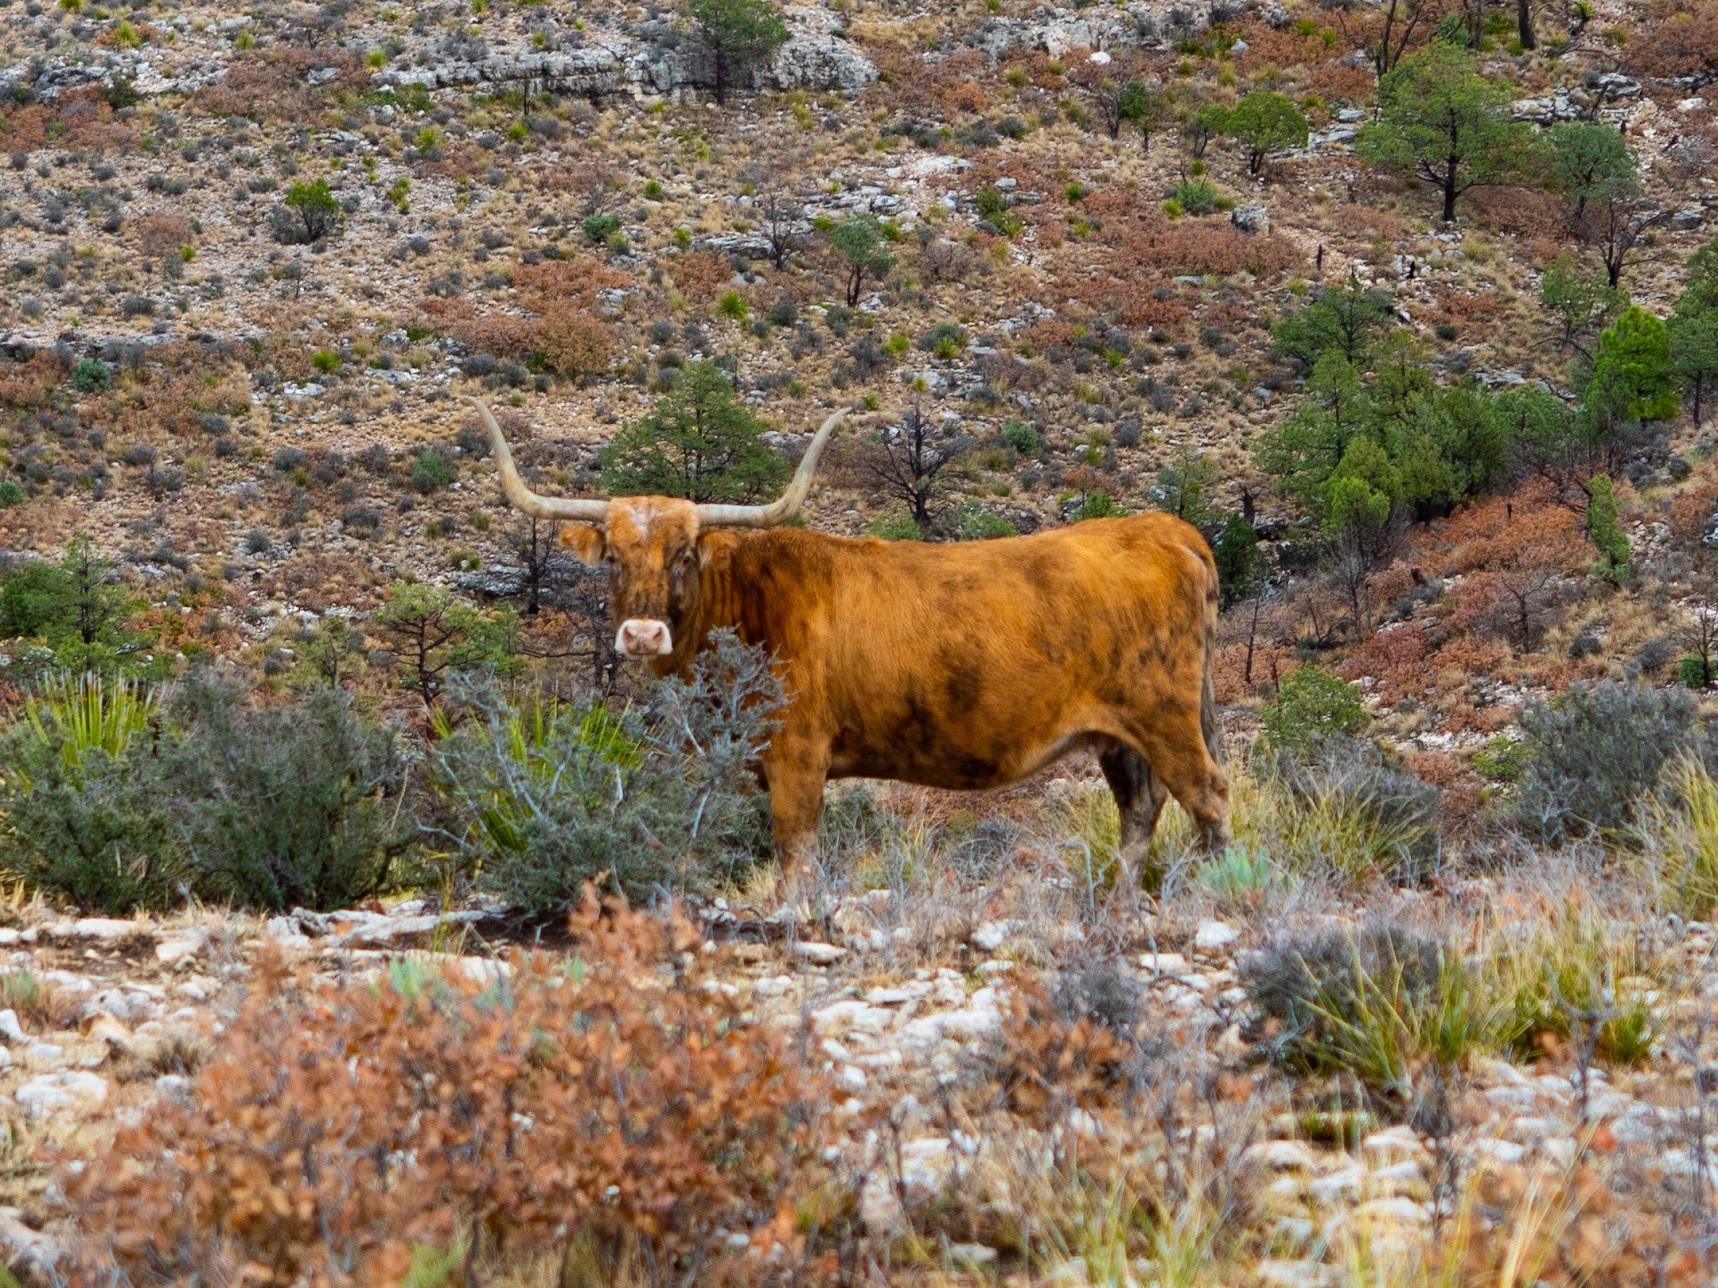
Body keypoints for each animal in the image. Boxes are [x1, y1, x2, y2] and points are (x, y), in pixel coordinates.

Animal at [477, 398, 1230, 872]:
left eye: (684, 555)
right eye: (612, 557)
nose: (639, 634)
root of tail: (1163, 528)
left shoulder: (797, 755)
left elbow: (795, 857)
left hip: (1166, 717)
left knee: (1207, 799)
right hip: (1119, 734)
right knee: (1140, 813)